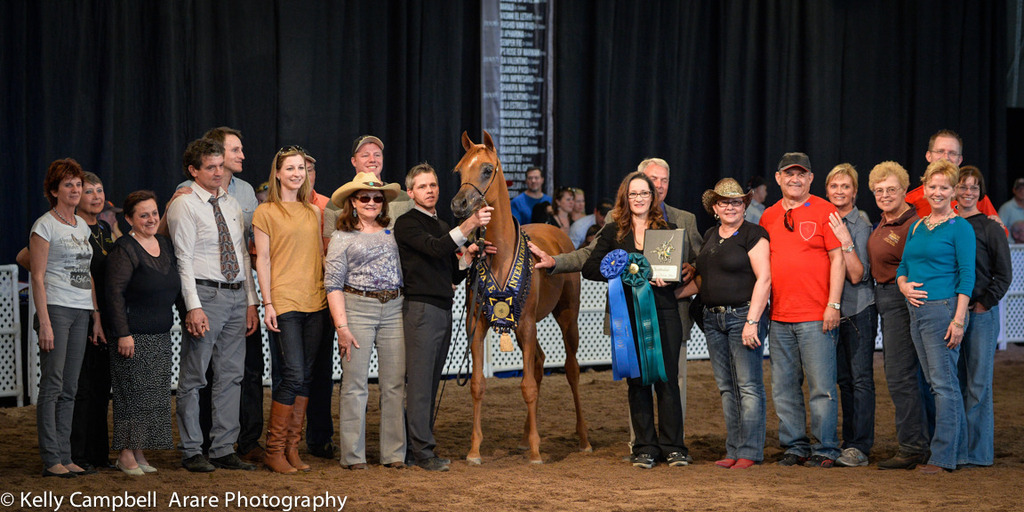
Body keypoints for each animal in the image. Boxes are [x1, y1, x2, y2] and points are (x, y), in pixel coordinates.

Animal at [450, 130, 591, 464]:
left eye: (487, 169)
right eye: (459, 171)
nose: (459, 204)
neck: (500, 257)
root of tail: (558, 233)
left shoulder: (526, 325)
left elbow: (527, 386)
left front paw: (537, 454)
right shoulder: (478, 326)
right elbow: (478, 384)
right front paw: (474, 451)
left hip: (567, 317)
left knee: (570, 369)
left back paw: (582, 440)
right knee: (539, 363)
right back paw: (527, 437)